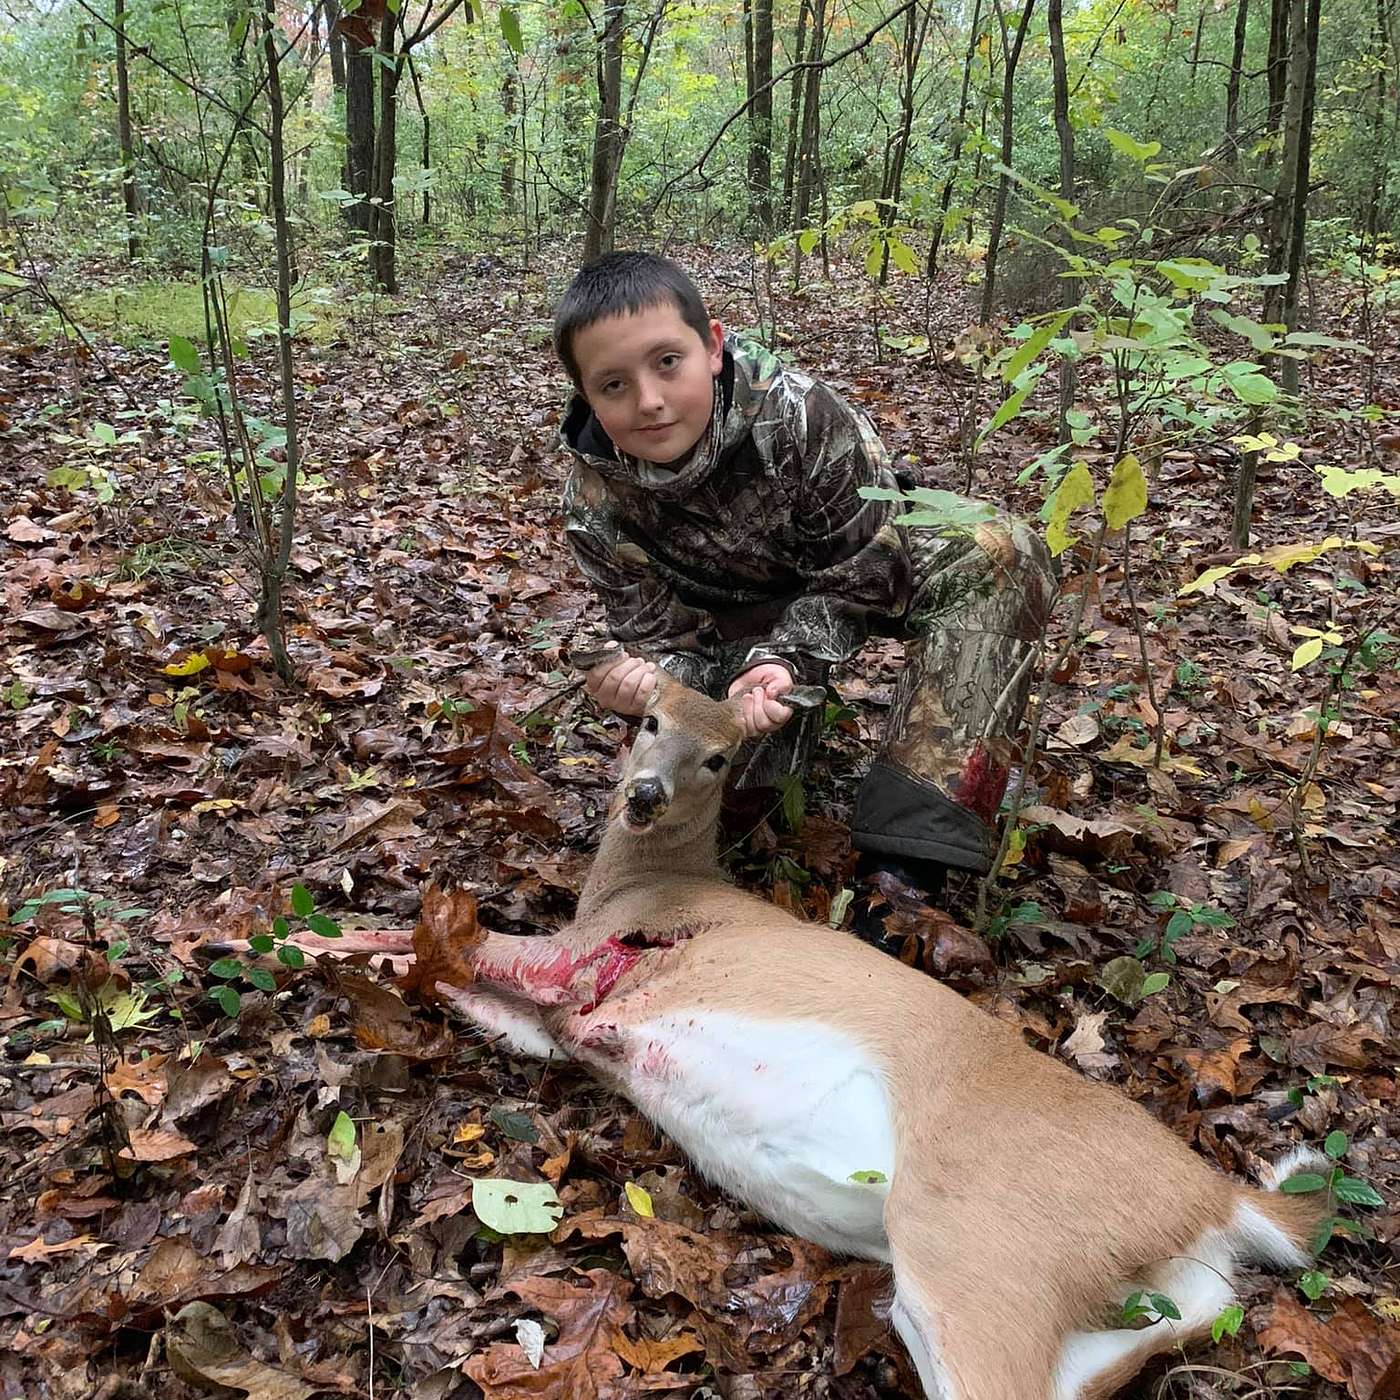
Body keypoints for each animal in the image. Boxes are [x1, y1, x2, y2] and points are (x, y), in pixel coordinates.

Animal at [254, 674, 1326, 1397]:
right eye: (648, 721)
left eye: (719, 754)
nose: (643, 793)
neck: (649, 889)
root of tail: (1217, 1197)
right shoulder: (563, 1025)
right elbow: (442, 980)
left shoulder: (573, 962)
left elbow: (416, 939)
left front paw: (273, 934)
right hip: (1133, 1292)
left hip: (978, 1246)